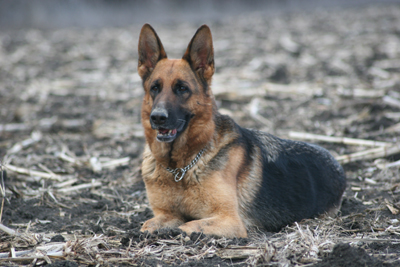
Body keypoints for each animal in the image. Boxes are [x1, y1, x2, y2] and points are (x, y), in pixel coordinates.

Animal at [138, 23, 346, 239]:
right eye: (155, 88)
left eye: (181, 88)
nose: (158, 117)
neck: (181, 168)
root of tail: (337, 165)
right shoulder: (165, 214)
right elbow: (147, 225)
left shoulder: (229, 220)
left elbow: (186, 226)